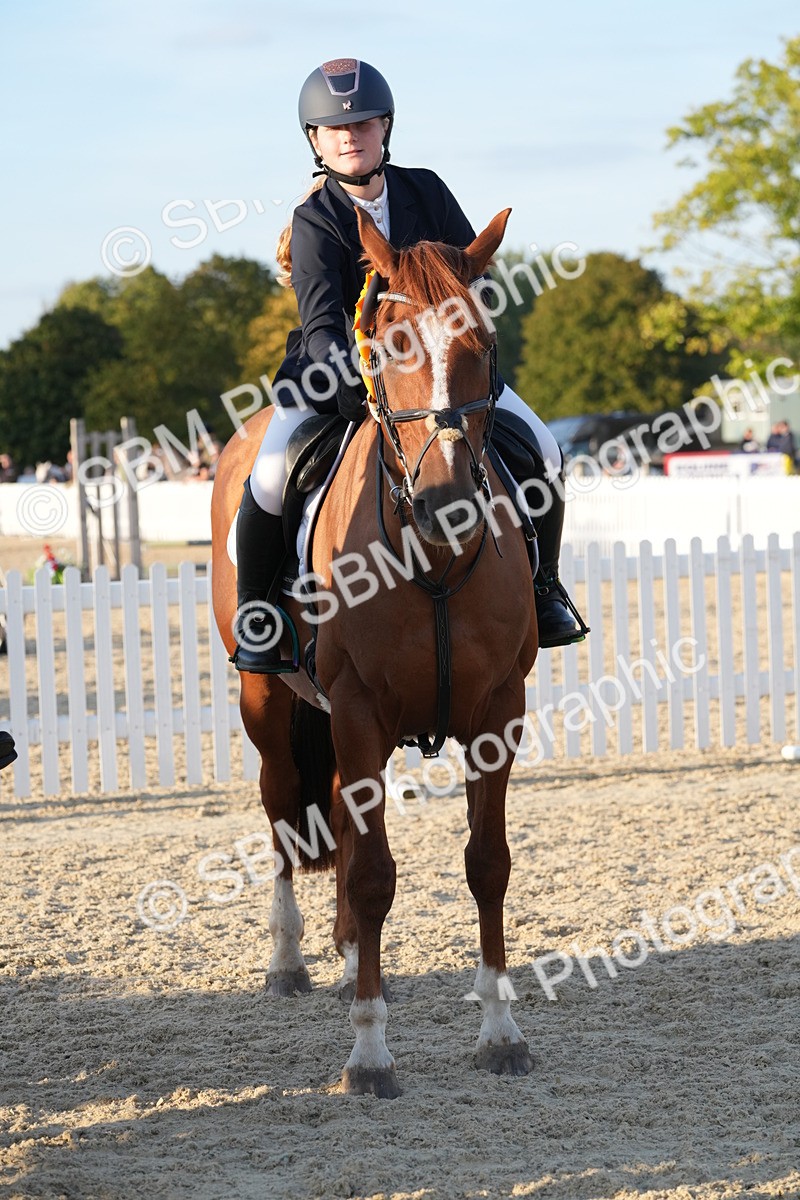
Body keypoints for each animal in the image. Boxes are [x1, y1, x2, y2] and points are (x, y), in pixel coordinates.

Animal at [211, 206, 538, 1098]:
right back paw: (290, 962)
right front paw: (369, 1051)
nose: (447, 503)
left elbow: (487, 863)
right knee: (283, 813)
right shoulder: (356, 710)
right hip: (269, 706)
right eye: (388, 343)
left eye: (482, 342)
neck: (433, 559)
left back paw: (350, 946)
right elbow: (371, 875)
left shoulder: (498, 713)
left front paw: (500, 1031)